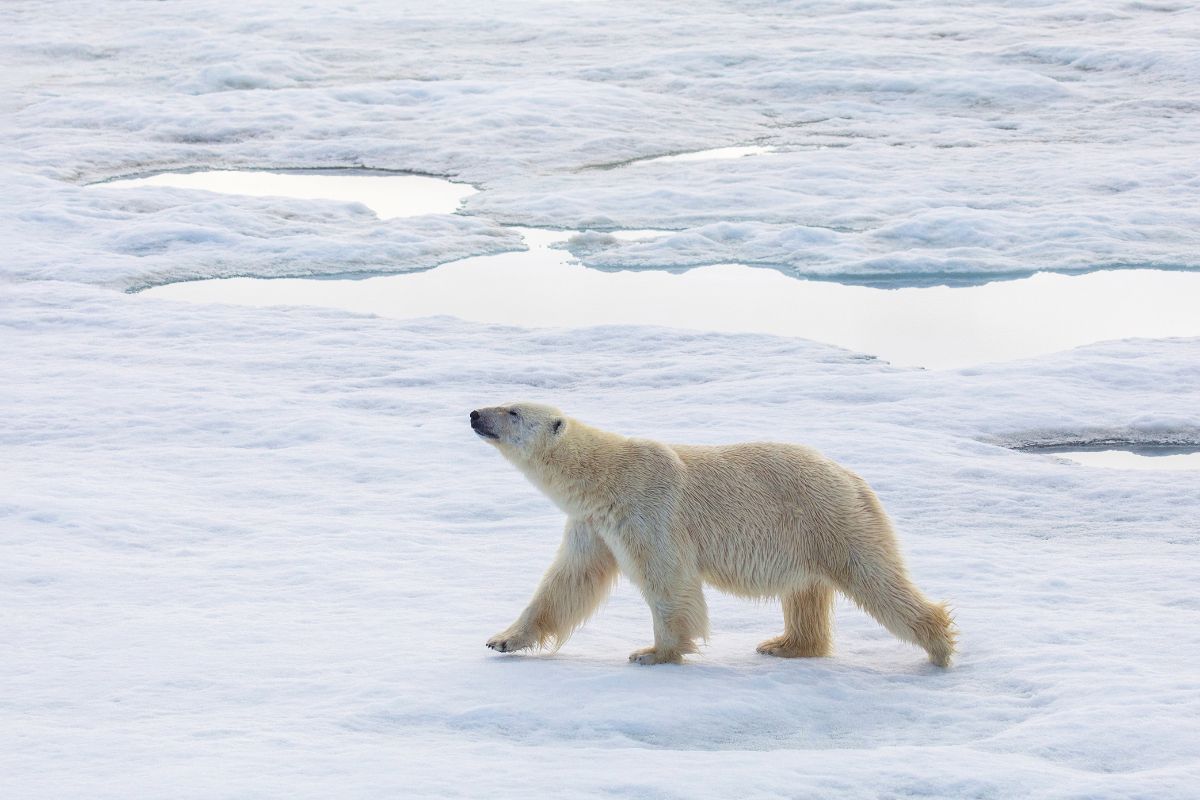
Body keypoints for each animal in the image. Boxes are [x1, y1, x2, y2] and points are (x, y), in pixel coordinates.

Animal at [470, 402, 956, 667]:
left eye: (513, 411)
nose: (475, 414)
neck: (606, 477)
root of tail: (854, 477)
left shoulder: (649, 511)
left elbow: (669, 581)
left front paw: (652, 652)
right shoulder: (592, 526)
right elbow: (566, 582)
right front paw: (502, 639)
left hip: (828, 517)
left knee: (873, 577)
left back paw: (939, 646)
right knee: (805, 593)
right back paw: (784, 645)